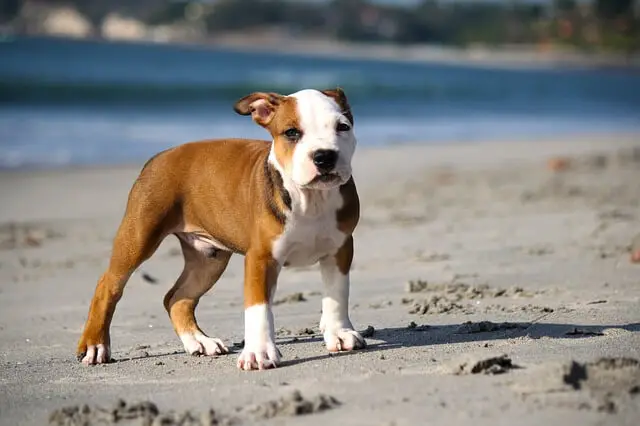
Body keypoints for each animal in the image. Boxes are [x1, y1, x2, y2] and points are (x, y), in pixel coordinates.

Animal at [76, 87, 364, 370]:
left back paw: (199, 341)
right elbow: (259, 309)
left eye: (343, 127)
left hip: (208, 260)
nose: (325, 156)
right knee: (108, 284)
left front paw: (339, 332)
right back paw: (94, 345)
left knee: (177, 298)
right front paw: (259, 352)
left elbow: (337, 294)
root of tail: (161, 156)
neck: (311, 199)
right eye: (292, 133)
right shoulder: (261, 258)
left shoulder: (340, 250)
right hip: (139, 236)